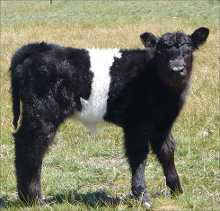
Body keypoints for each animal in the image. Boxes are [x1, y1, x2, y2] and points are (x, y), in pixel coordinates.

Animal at [10, 27, 209, 207]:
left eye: (189, 49)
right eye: (161, 51)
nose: (177, 69)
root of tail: (38, 48)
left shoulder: (163, 123)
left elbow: (167, 151)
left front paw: (176, 189)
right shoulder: (136, 124)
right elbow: (138, 156)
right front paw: (142, 195)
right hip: (42, 113)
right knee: (30, 145)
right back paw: (34, 198)